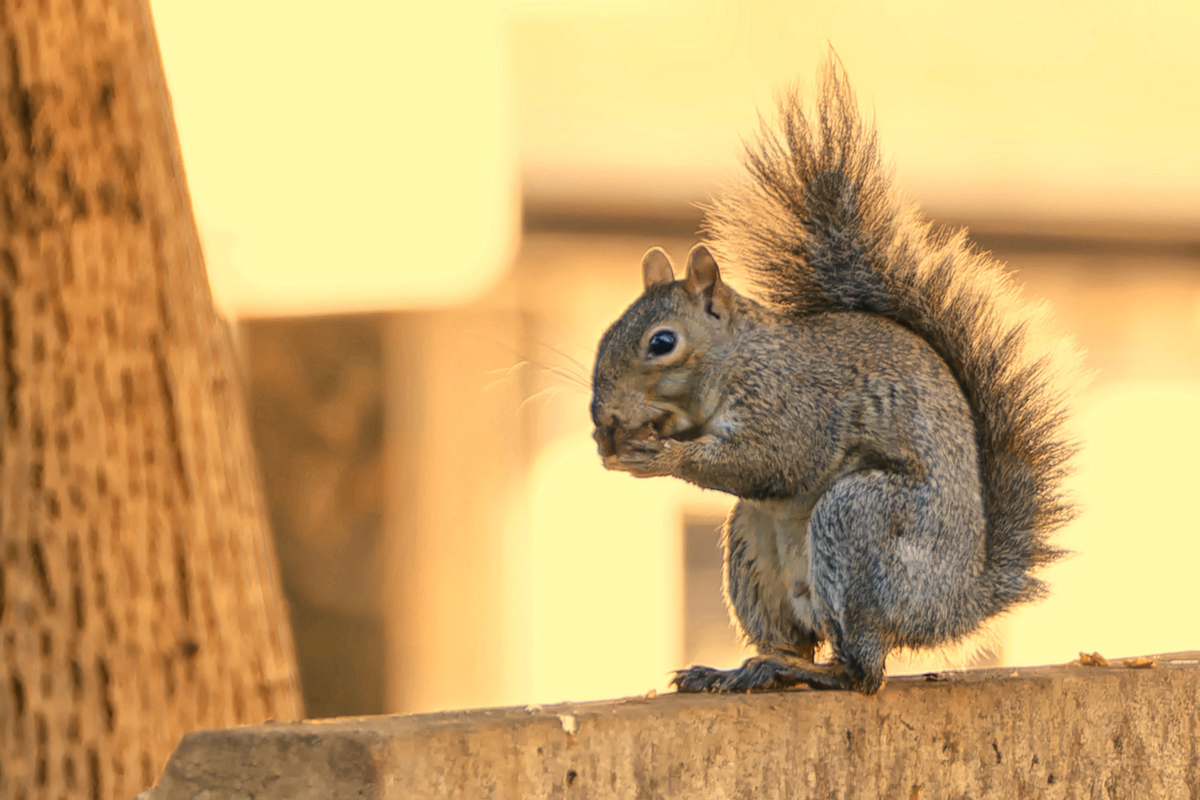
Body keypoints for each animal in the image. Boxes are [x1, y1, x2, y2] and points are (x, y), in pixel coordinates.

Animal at [589, 61, 1078, 695]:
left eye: (662, 343)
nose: (603, 416)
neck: (742, 359)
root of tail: (952, 606)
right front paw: (613, 446)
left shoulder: (796, 404)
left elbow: (773, 459)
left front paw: (663, 456)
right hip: (753, 552)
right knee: (798, 638)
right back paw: (741, 668)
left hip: (859, 522)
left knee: (862, 670)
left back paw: (804, 671)